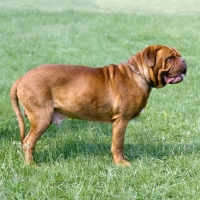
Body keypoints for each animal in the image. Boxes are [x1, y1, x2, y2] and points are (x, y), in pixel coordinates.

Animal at [9, 45, 188, 166]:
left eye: (178, 56)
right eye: (170, 58)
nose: (184, 60)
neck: (138, 74)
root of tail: (22, 78)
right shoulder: (121, 121)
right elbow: (118, 144)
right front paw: (121, 163)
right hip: (42, 118)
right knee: (28, 142)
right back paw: (32, 165)